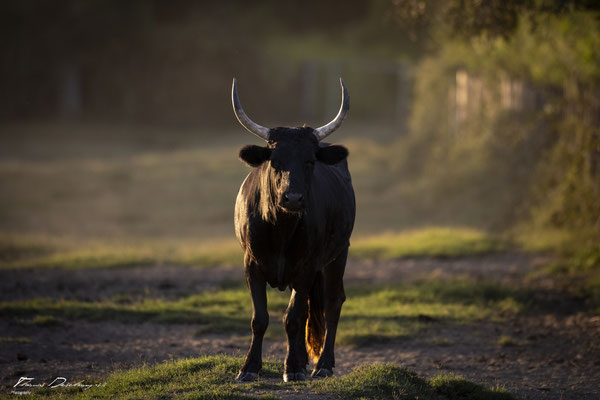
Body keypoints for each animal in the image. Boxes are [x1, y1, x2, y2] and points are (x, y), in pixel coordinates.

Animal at [232, 78, 356, 382]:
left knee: (332, 303)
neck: (280, 228)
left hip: (338, 255)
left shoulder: (307, 266)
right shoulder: (251, 264)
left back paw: (323, 364)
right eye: (274, 160)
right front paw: (249, 368)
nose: (293, 198)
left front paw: (292, 368)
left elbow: (292, 317)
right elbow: (260, 319)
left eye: (310, 161)